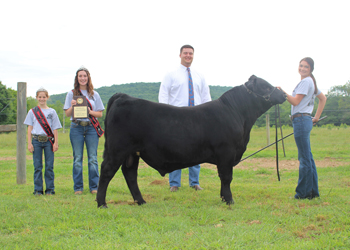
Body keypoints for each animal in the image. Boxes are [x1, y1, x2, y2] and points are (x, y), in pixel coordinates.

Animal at [95, 75, 284, 208]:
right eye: (266, 86)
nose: (282, 93)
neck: (238, 114)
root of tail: (123, 96)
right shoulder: (226, 152)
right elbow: (226, 177)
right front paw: (229, 200)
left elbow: (224, 178)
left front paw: (224, 198)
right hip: (117, 149)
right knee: (106, 171)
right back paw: (101, 203)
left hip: (132, 153)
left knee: (130, 174)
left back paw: (141, 201)